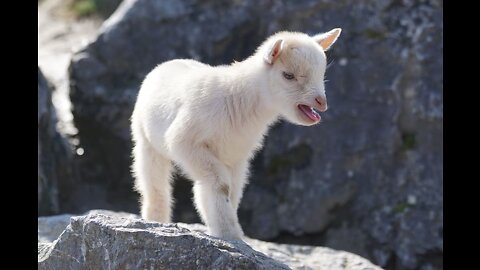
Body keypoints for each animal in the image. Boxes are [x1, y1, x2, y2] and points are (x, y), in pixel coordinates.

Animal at [130, 29, 342, 240]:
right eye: (288, 75)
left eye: (321, 73)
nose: (321, 102)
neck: (240, 99)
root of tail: (166, 64)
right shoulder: (184, 140)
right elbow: (221, 185)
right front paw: (229, 233)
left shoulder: (237, 156)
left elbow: (232, 191)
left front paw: (227, 232)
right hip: (145, 140)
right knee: (155, 185)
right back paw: (156, 219)